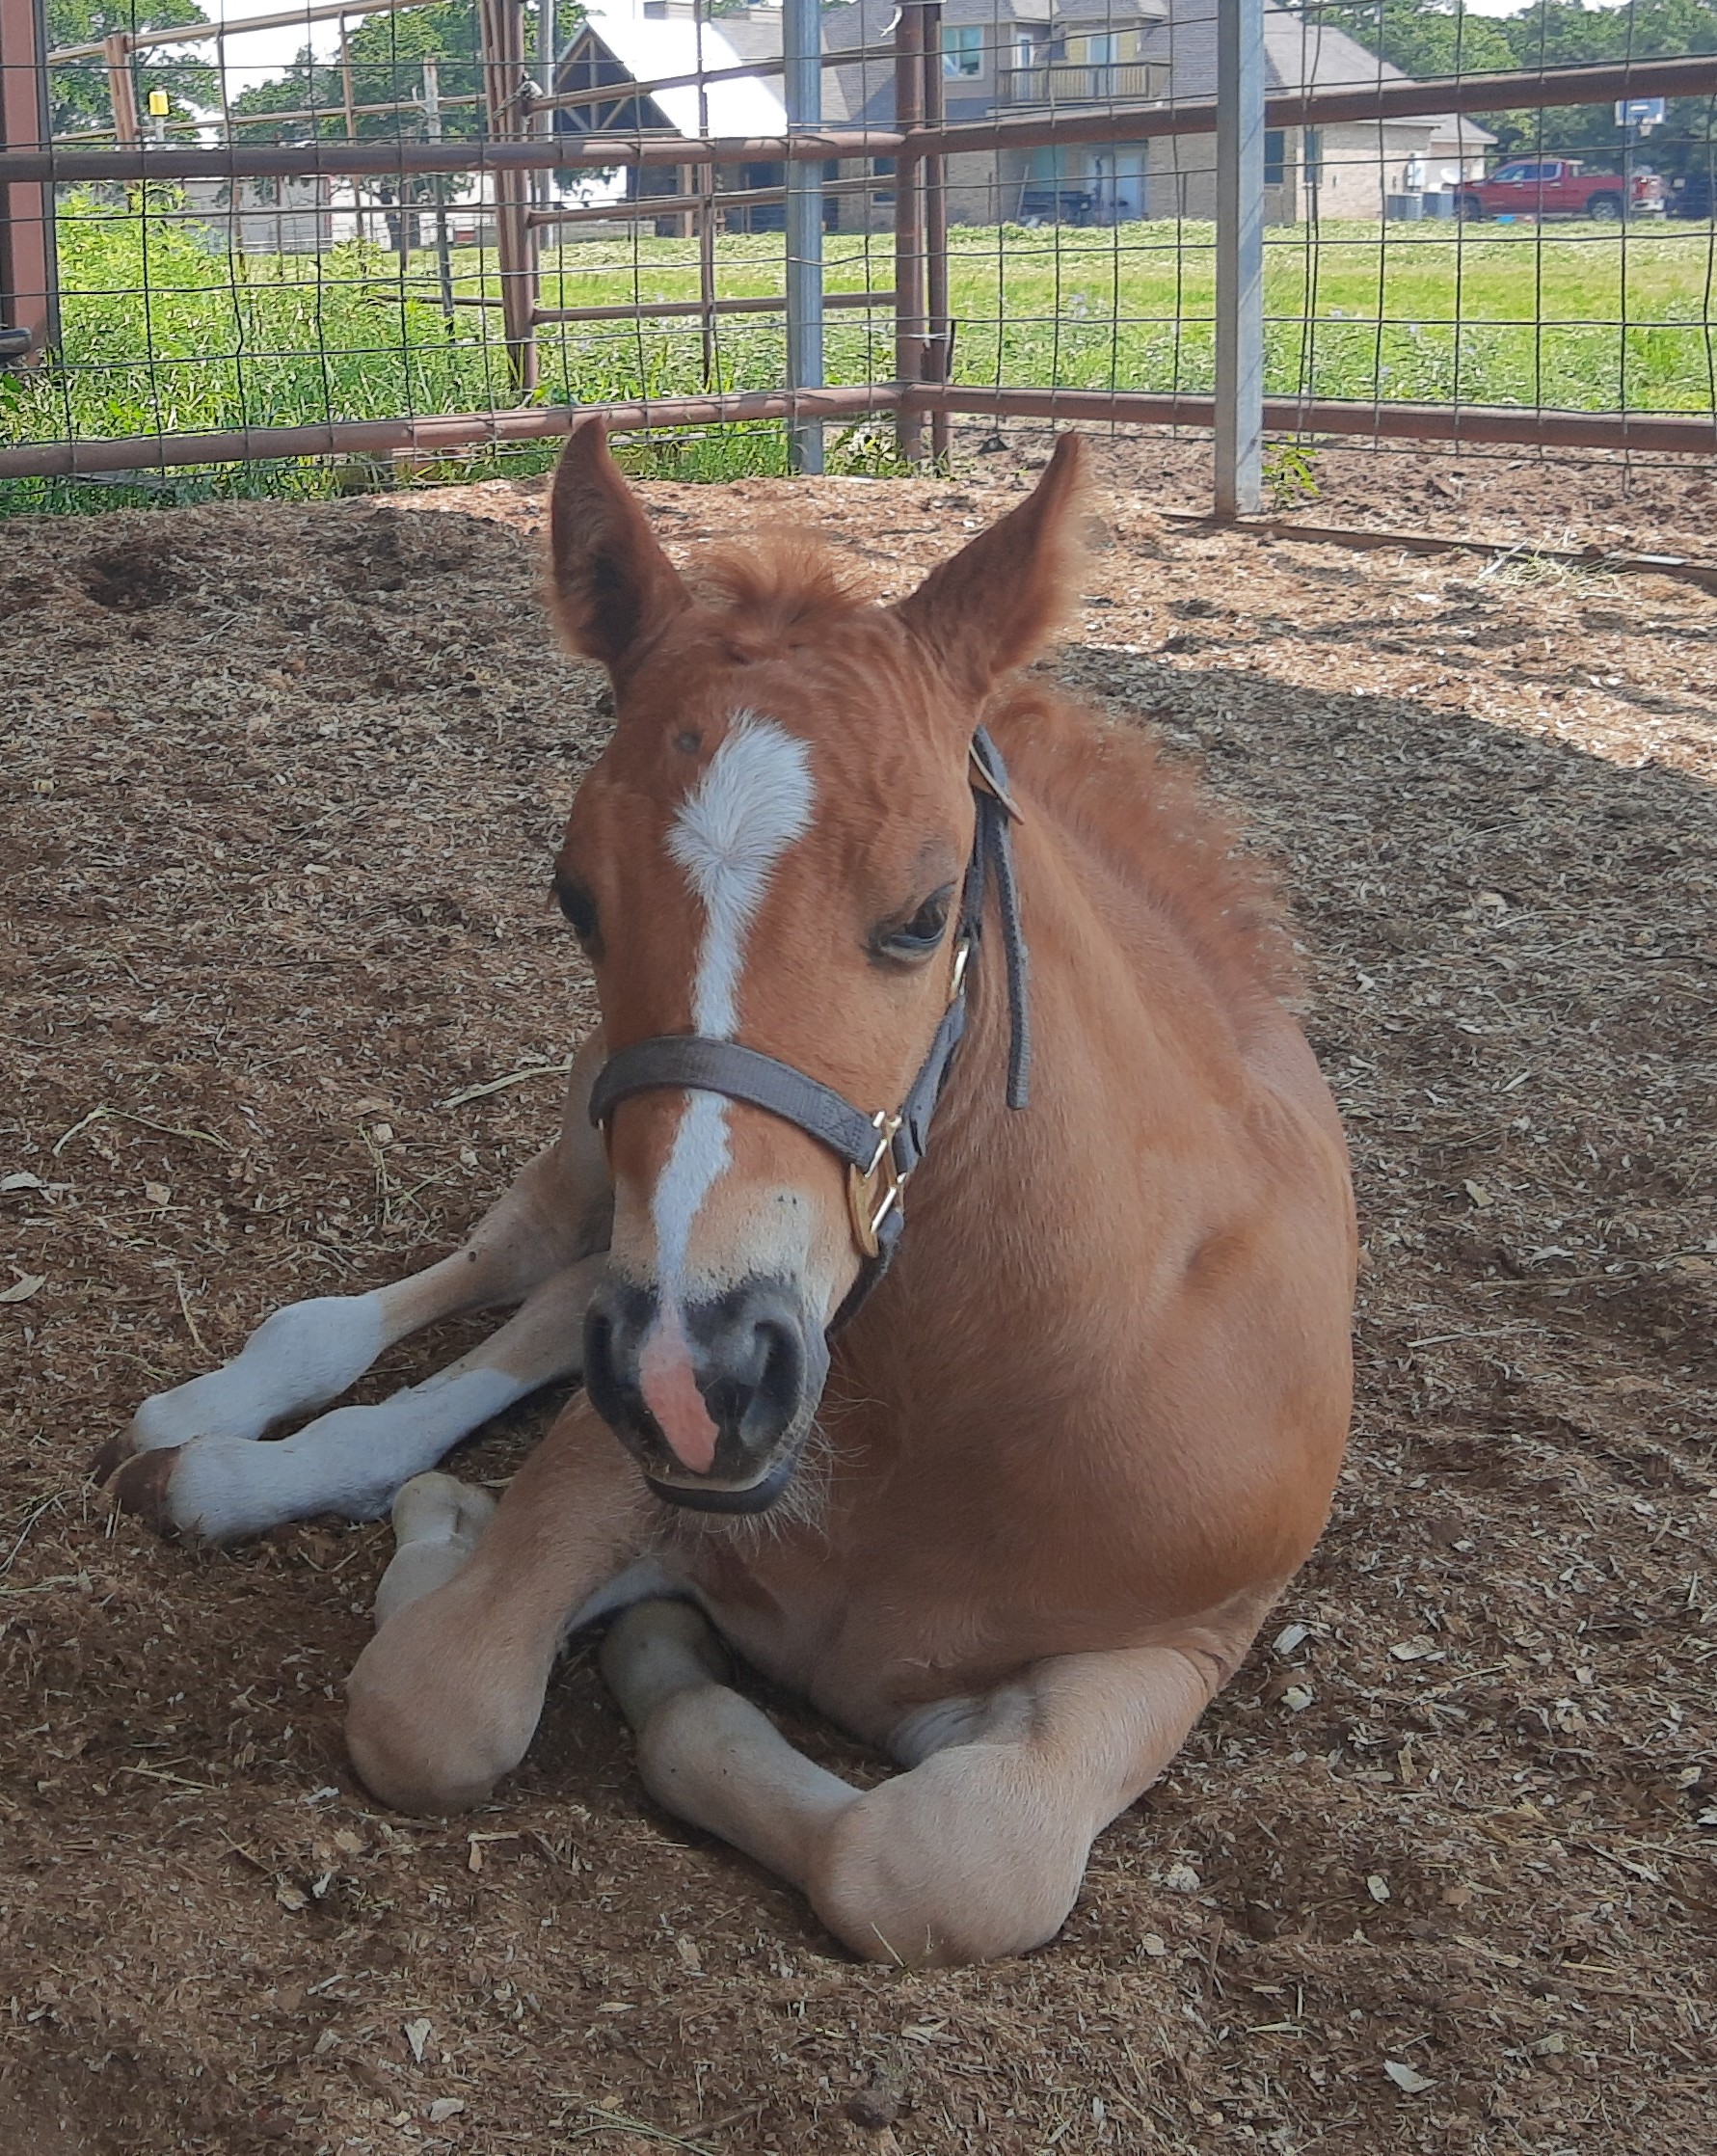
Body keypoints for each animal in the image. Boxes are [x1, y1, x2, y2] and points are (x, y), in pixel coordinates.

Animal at [113, 424, 1361, 1975]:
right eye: (573, 896)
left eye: (925, 913)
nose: (694, 1374)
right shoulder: (627, 1453)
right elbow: (437, 1700)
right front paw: (467, 1550)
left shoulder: (1188, 1640)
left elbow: (944, 1862)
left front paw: (603, 1626)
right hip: (589, 1168)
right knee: (484, 1278)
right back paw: (213, 1431)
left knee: (549, 1314)